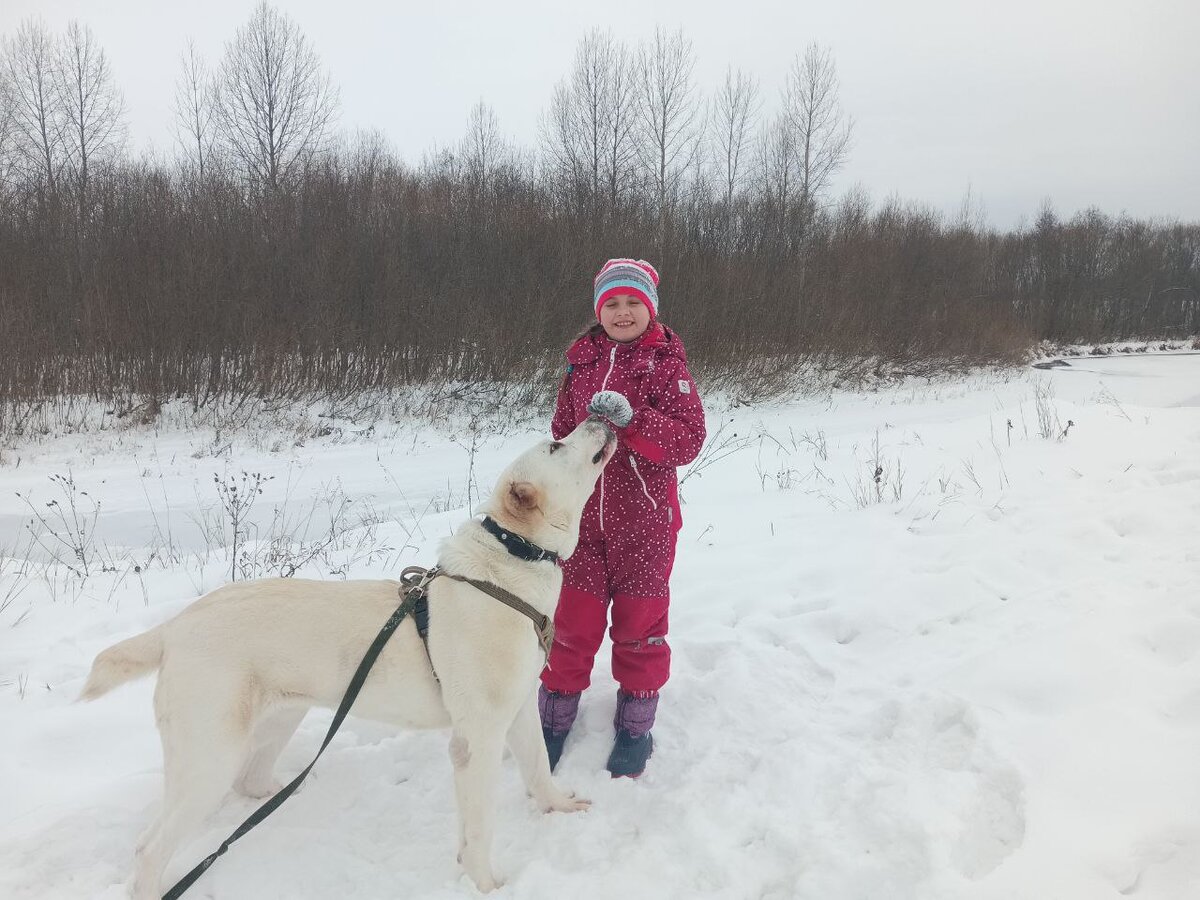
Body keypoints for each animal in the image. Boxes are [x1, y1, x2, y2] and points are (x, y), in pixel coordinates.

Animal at [82, 420, 619, 897]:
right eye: (555, 444)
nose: (602, 414)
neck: (507, 572)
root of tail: (175, 628)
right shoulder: (478, 739)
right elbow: (479, 831)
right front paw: (486, 885)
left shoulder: (521, 710)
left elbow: (539, 767)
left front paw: (558, 807)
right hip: (208, 757)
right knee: (150, 848)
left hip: (280, 717)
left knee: (251, 783)